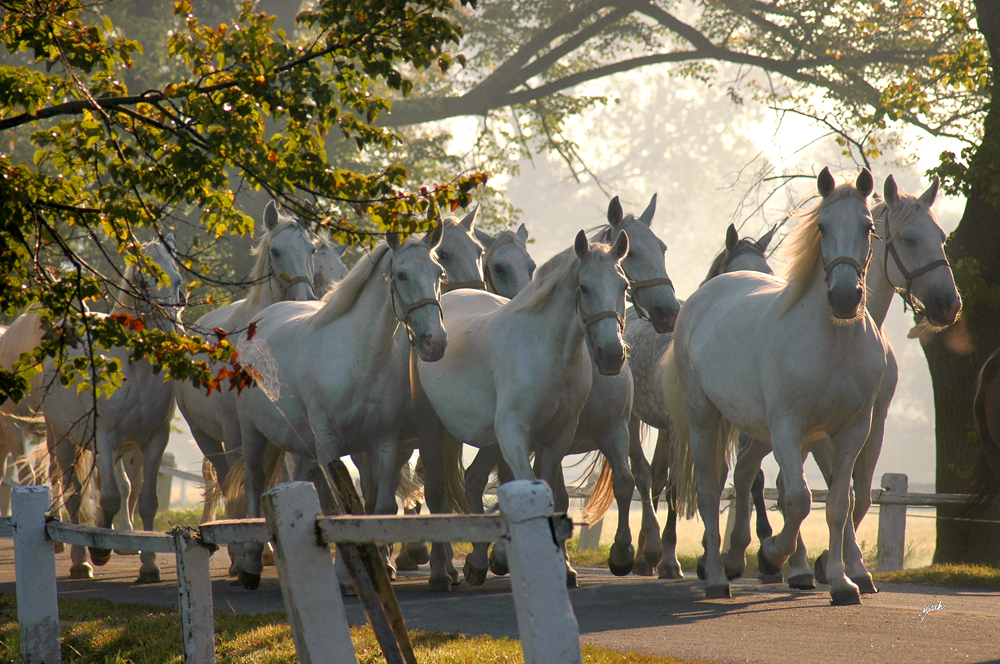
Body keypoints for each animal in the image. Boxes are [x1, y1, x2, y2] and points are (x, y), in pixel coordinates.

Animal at [43, 235, 183, 580]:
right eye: (143, 281)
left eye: (177, 280)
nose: (172, 331)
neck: (136, 369)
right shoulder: (104, 439)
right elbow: (108, 498)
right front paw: (101, 548)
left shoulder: (155, 441)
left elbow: (146, 500)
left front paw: (149, 565)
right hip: (63, 441)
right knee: (75, 495)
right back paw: (81, 560)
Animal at [233, 227, 446, 588]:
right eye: (402, 275)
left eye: (439, 273)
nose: (436, 342)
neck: (359, 357)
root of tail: (260, 319)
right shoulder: (329, 443)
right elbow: (341, 511)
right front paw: (344, 576)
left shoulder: (383, 443)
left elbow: (380, 506)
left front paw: (375, 569)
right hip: (251, 432)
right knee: (253, 483)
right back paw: (249, 563)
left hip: (303, 446)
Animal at [414, 230, 632, 592]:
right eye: (584, 287)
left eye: (624, 285)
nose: (612, 355)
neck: (545, 349)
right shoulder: (514, 433)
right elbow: (528, 489)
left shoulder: (558, 438)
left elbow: (555, 494)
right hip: (434, 430)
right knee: (434, 490)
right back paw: (444, 571)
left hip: (490, 441)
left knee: (473, 481)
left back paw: (476, 561)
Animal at [668, 169, 888, 604]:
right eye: (821, 227)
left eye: (868, 227)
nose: (844, 297)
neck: (834, 343)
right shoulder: (788, 426)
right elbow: (798, 499)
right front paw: (772, 553)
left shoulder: (852, 429)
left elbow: (838, 502)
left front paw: (843, 582)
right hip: (703, 416)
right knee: (708, 491)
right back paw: (717, 575)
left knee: (743, 476)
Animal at [728, 174, 960, 588]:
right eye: (908, 239)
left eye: (941, 236)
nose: (946, 304)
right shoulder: (821, 430)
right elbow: (831, 489)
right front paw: (829, 564)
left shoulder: (872, 422)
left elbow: (857, 494)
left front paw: (842, 565)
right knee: (754, 479)